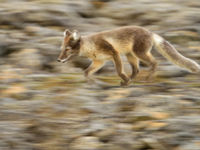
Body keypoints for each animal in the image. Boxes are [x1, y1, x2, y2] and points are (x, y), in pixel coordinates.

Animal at [57, 25, 199, 85]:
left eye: (68, 49)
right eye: (62, 49)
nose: (58, 60)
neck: (90, 46)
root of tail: (150, 32)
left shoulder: (114, 54)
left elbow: (119, 71)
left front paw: (124, 79)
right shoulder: (99, 61)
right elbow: (86, 72)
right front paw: (90, 82)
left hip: (139, 53)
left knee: (154, 63)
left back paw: (146, 80)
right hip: (131, 56)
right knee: (136, 70)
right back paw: (131, 80)